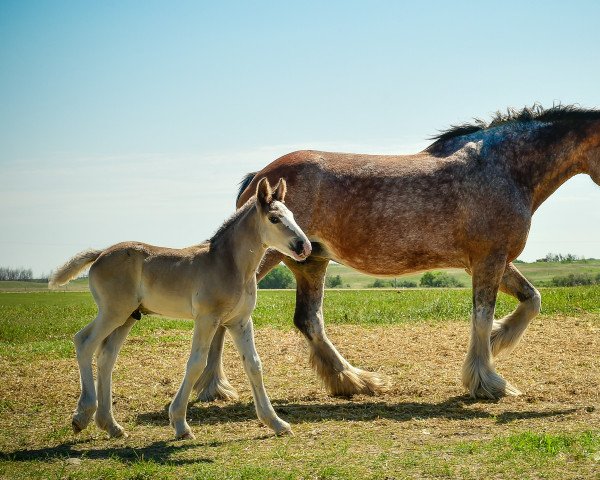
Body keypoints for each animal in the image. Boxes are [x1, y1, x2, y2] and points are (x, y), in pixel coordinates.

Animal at [49, 178, 312, 440]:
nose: (304, 246)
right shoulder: (206, 318)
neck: (229, 264)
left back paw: (111, 425)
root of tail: (100, 254)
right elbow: (196, 363)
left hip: (128, 317)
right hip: (113, 312)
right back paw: (82, 415)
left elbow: (254, 365)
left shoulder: (240, 322)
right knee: (84, 342)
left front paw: (276, 422)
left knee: (106, 356)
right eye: (274, 218)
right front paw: (180, 424)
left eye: (292, 215)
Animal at [195, 106, 600, 402]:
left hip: (310, 261)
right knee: (230, 314)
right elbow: (482, 317)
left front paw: (498, 343)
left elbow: (532, 299)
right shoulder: (489, 259)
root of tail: (259, 179)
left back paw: (354, 381)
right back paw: (214, 386)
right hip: (268, 258)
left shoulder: (492, 261)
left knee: (309, 320)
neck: (505, 167)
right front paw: (487, 381)